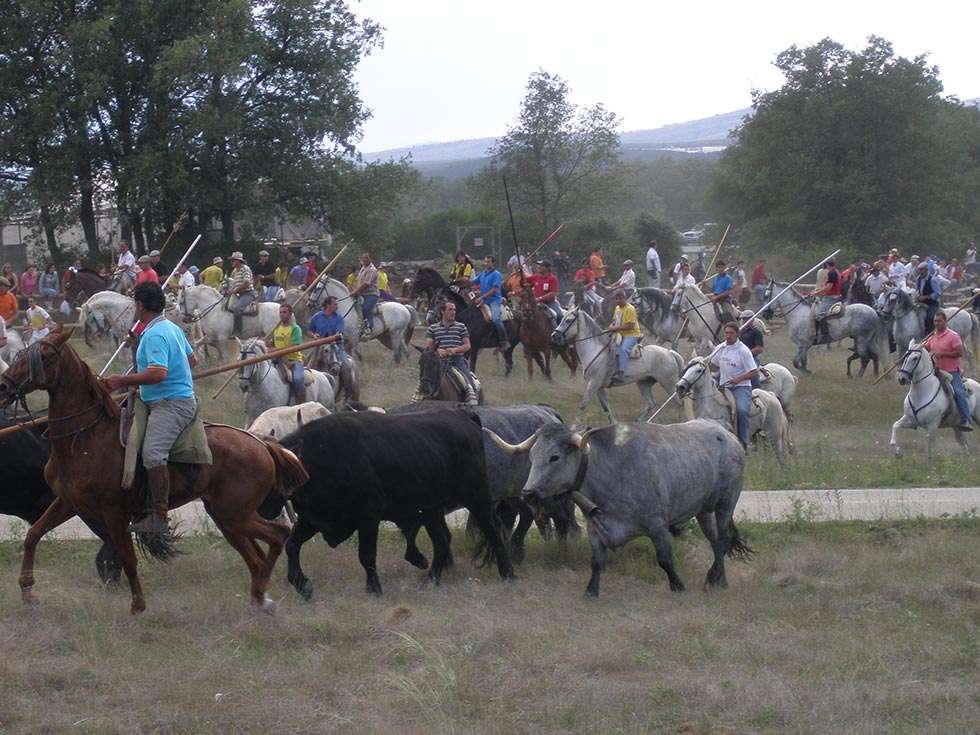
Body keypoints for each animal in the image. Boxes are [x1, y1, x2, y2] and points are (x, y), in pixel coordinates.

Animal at [0, 330, 310, 612]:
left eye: (44, 356)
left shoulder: (113, 513)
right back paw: (260, 598)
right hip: (228, 516)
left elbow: (126, 557)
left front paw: (138, 605)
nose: (4, 386)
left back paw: (263, 594)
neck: (86, 437)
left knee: (277, 536)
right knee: (258, 554)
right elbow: (33, 535)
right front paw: (28, 592)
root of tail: (262, 444)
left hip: (234, 514)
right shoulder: (68, 502)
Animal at [260, 408, 520, 600]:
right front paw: (303, 586)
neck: (317, 459)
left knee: (493, 531)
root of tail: (463, 415)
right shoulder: (313, 520)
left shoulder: (368, 517)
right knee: (442, 540)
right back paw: (431, 580)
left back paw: (508, 574)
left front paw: (374, 590)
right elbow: (292, 545)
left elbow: (366, 555)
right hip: (432, 510)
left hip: (477, 498)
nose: (263, 509)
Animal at [488, 420, 752, 600]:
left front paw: (678, 586)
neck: (613, 470)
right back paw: (719, 578)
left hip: (726, 502)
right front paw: (591, 591)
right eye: (532, 456)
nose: (528, 493)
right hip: (704, 510)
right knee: (715, 541)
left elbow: (665, 559)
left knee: (722, 539)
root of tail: (725, 433)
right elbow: (596, 561)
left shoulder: (657, 525)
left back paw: (714, 578)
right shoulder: (595, 529)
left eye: (555, 457)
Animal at [548, 308, 684, 428]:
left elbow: (583, 404)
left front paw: (574, 427)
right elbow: (606, 408)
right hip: (644, 384)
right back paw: (638, 422)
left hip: (669, 384)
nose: (554, 335)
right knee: (651, 403)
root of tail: (670, 352)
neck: (595, 350)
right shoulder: (599, 387)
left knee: (679, 403)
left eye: (568, 320)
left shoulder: (594, 383)